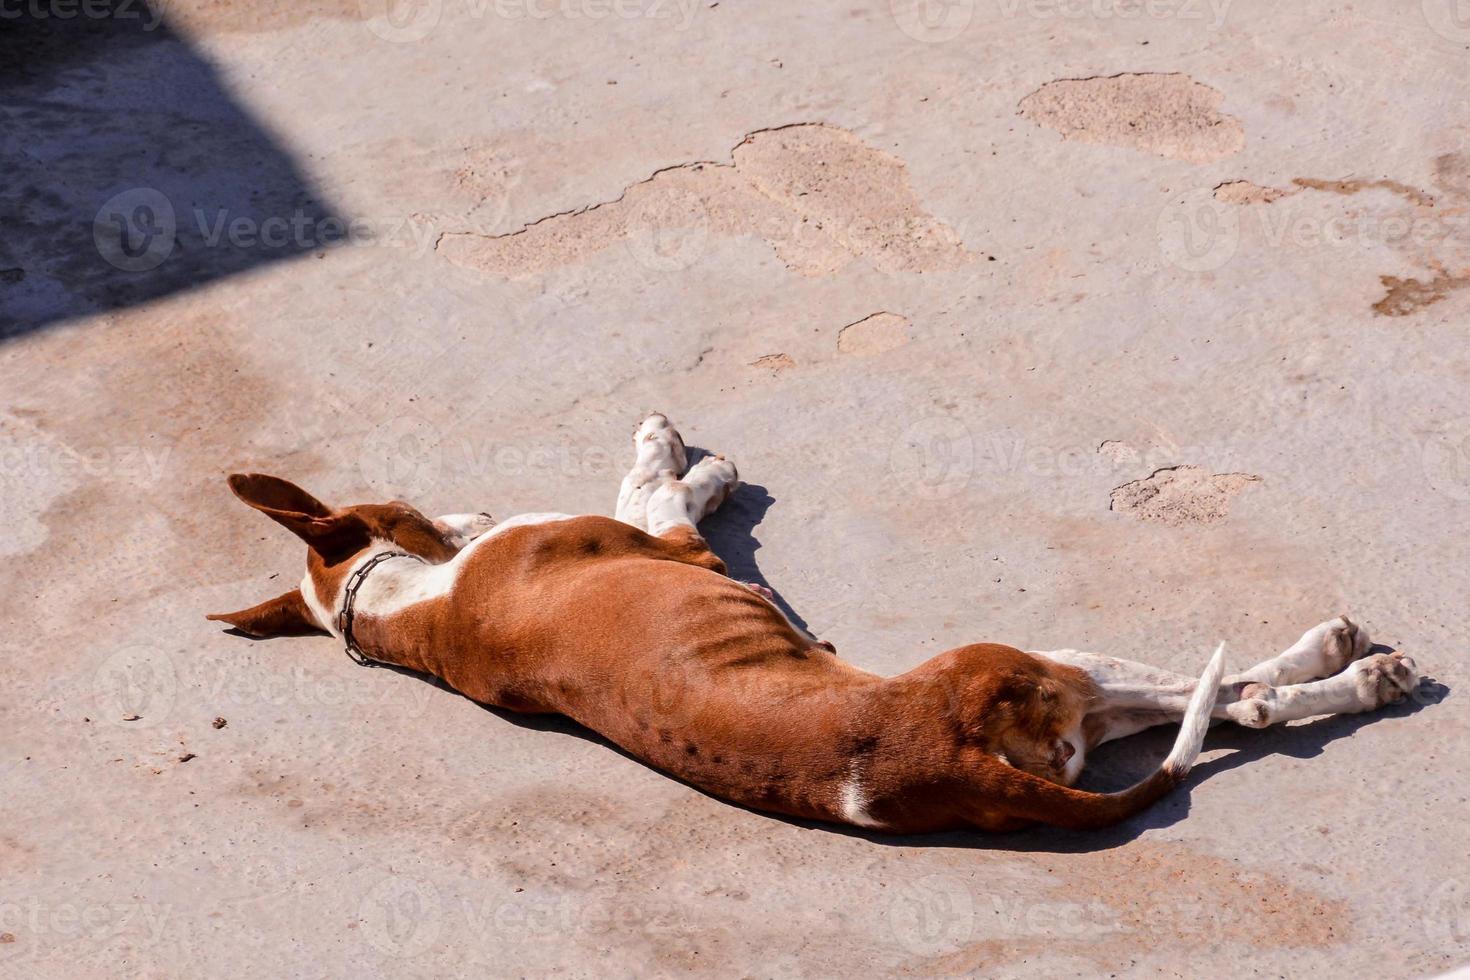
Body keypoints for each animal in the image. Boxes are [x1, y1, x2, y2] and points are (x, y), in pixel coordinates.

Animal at [210, 414, 1422, 834]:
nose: (466, 510)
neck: (408, 610)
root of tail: (935, 761)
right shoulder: (675, 549)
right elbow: (654, 487)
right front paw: (683, 453)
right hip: (1047, 667)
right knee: (1243, 701)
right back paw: (1344, 666)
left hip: (1070, 718)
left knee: (1216, 710)